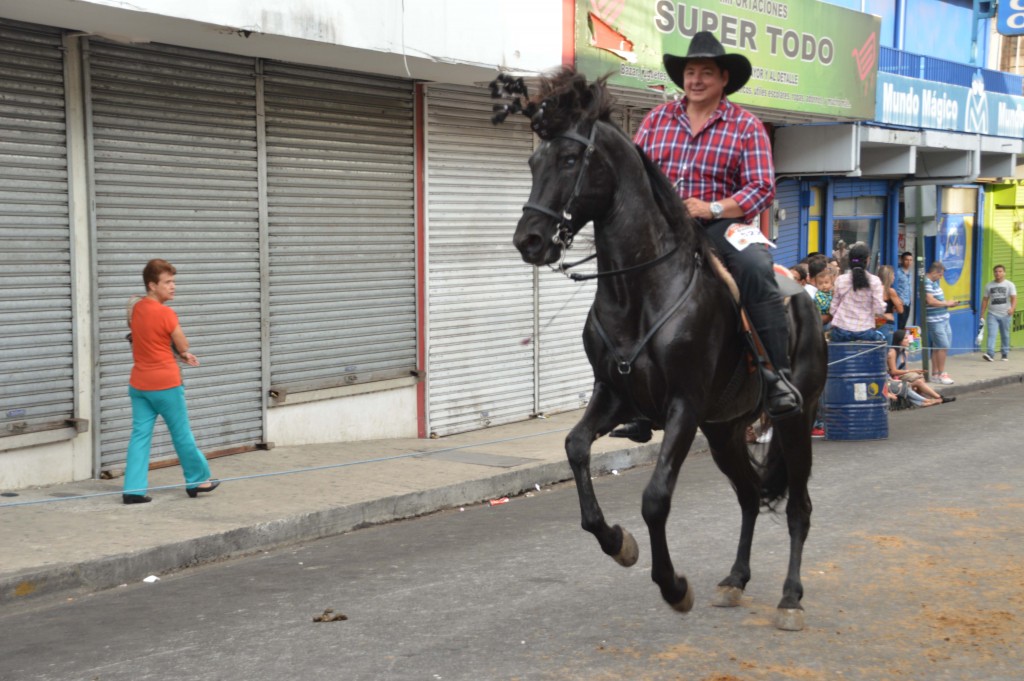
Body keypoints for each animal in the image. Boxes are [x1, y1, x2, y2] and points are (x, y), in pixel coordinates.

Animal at [495, 70, 831, 630]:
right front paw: (616, 541)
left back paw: (790, 597)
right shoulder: (614, 395)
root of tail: (805, 296)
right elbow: (575, 447)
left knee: (799, 507)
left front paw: (672, 585)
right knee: (747, 495)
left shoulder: (683, 407)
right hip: (724, 429)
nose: (531, 240)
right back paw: (735, 580)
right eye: (533, 162)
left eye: (570, 159)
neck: (639, 289)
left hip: (794, 419)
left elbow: (655, 499)